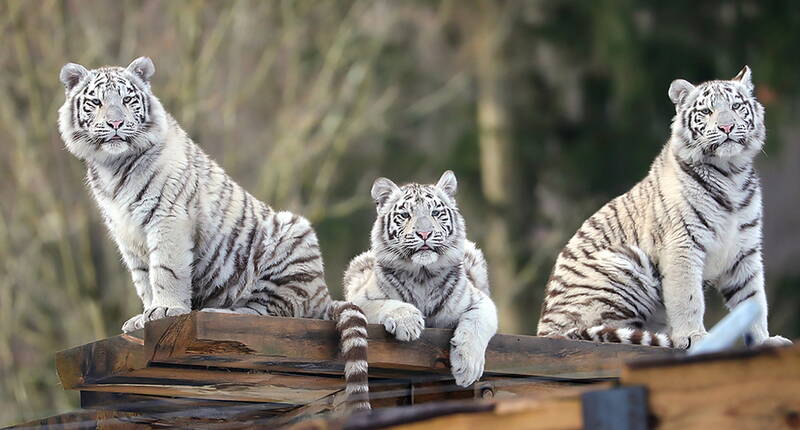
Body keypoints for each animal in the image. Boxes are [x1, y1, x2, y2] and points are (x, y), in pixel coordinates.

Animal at [59, 57, 372, 410]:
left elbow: (165, 270)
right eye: (97, 102)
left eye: (127, 100)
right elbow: (144, 278)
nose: (115, 123)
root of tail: (323, 292)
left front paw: (165, 310)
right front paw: (143, 317)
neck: (113, 167)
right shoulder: (126, 235)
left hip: (293, 240)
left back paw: (214, 311)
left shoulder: (168, 217)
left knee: (265, 312)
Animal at [346, 171, 496, 386]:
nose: (424, 233)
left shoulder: (481, 301)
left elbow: (477, 323)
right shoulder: (360, 299)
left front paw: (467, 366)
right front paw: (408, 323)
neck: (422, 275)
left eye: (435, 213)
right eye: (405, 215)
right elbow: (387, 303)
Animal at [536, 67, 792, 350]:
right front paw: (694, 337)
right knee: (599, 329)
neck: (731, 172)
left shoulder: (745, 249)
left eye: (736, 106)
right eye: (707, 112)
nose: (727, 127)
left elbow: (753, 299)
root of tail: (545, 330)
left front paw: (764, 341)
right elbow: (688, 298)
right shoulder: (682, 244)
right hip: (626, 263)